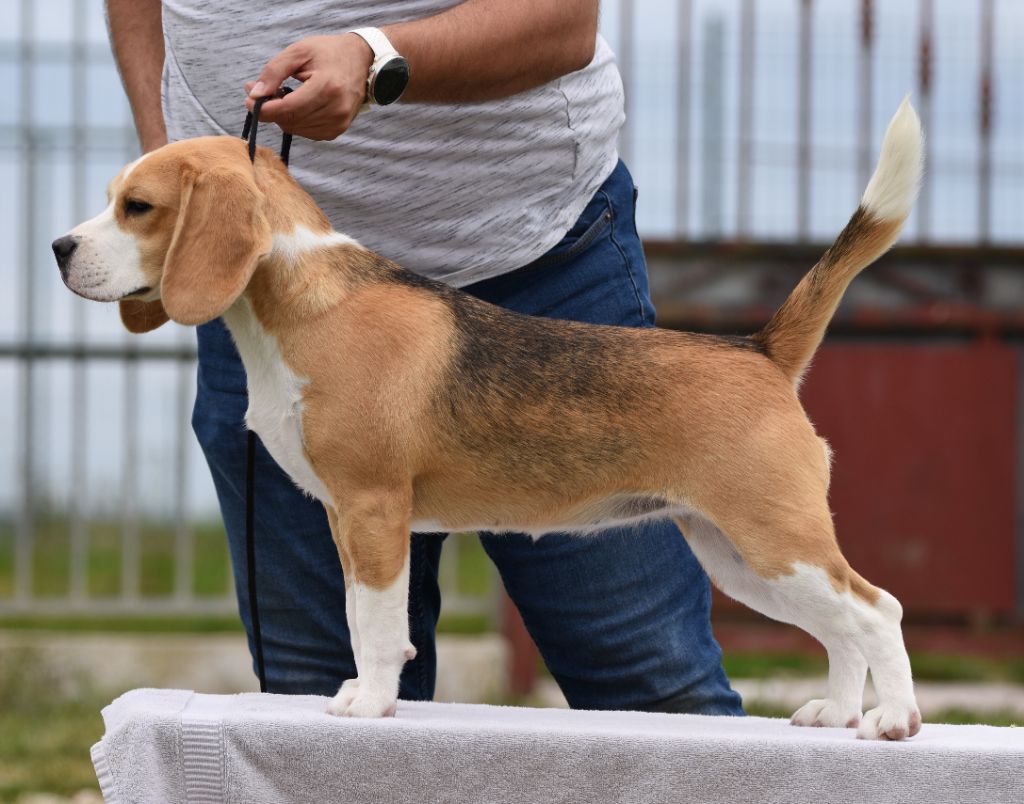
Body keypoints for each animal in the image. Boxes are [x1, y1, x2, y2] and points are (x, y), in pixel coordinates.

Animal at [51, 97, 925, 737]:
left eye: (139, 206)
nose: (59, 248)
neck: (304, 297)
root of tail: (759, 349)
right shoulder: (342, 518)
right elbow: (357, 614)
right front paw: (361, 691)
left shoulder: (375, 509)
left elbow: (377, 622)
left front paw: (371, 703)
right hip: (740, 556)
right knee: (841, 627)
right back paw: (837, 712)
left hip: (775, 540)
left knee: (877, 609)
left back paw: (894, 720)